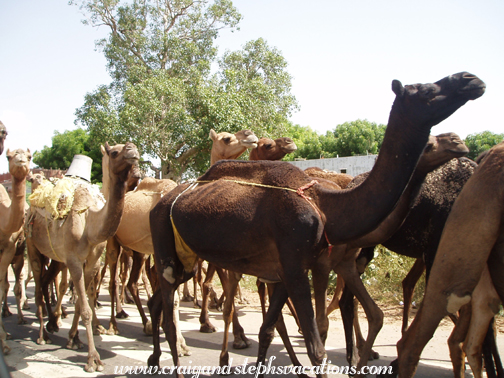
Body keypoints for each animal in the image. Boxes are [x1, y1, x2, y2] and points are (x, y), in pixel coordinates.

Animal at [26, 142, 138, 372]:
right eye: (115, 152)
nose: (133, 151)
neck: (90, 223)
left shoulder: (92, 262)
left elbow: (81, 301)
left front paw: (74, 338)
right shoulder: (74, 261)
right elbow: (85, 307)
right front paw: (93, 359)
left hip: (55, 257)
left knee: (46, 282)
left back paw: (53, 323)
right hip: (32, 246)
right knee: (39, 287)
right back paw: (42, 335)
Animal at [149, 71, 484, 376]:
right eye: (426, 91)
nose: (471, 79)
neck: (327, 206)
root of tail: (163, 200)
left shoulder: (287, 268)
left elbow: (268, 330)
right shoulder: (297, 265)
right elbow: (316, 348)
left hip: (187, 256)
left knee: (160, 301)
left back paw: (157, 355)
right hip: (165, 243)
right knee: (169, 310)